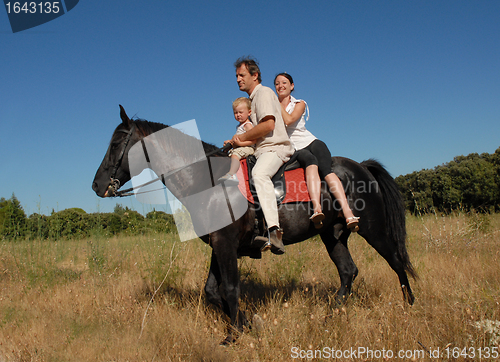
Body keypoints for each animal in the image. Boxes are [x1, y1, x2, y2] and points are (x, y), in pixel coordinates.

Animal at [92, 106, 416, 344]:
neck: (207, 180)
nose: (97, 185)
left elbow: (230, 289)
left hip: (373, 228)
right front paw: (248, 322)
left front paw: (233, 335)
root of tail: (361, 167)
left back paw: (410, 306)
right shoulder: (220, 245)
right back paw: (330, 316)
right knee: (348, 271)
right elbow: (212, 291)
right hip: (332, 235)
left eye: (116, 143)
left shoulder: (225, 245)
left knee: (396, 261)